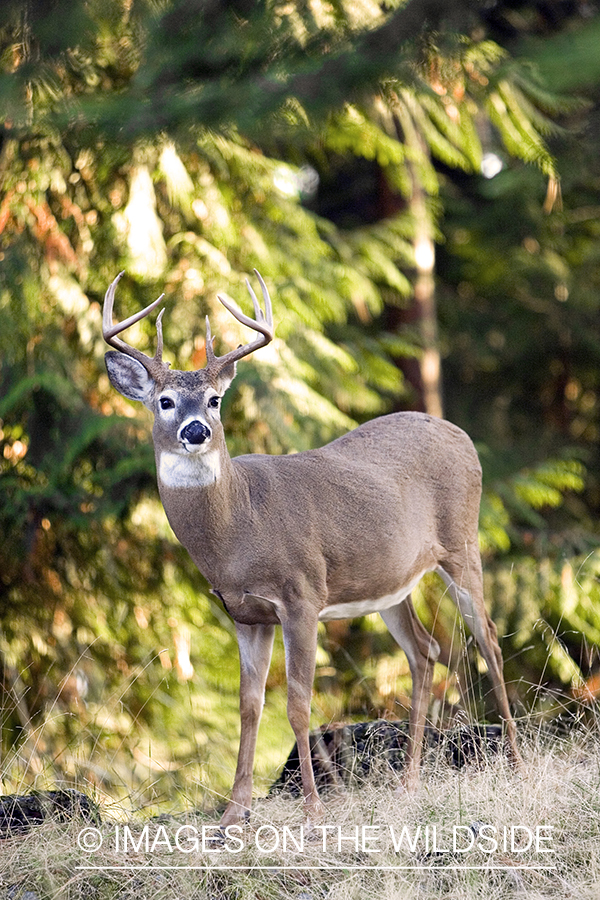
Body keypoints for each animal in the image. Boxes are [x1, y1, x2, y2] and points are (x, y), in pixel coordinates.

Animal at [103, 270, 520, 828]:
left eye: (214, 399)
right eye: (165, 401)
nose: (196, 431)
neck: (238, 531)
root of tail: (461, 435)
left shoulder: (301, 595)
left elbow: (298, 704)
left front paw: (313, 807)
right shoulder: (244, 614)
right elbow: (249, 705)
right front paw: (233, 813)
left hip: (461, 544)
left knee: (489, 638)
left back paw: (517, 762)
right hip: (391, 585)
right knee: (425, 651)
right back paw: (409, 783)